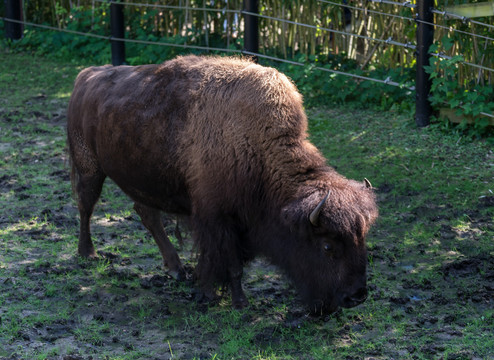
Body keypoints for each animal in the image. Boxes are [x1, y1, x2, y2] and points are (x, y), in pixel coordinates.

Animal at [66, 54, 378, 314]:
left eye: (362, 238)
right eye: (327, 246)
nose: (357, 296)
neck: (256, 148)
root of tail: (86, 75)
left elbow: (229, 261)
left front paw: (214, 291)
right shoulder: (217, 219)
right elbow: (229, 263)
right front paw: (230, 300)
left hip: (142, 180)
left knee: (147, 215)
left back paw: (176, 269)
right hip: (89, 167)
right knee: (85, 206)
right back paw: (88, 253)